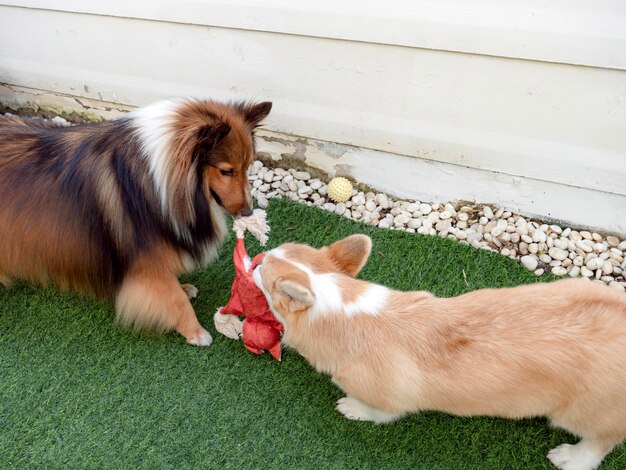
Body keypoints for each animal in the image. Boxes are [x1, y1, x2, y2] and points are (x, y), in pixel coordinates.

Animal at [0, 97, 270, 346]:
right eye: (226, 171)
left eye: (247, 166)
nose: (248, 212)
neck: (161, 179)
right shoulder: (146, 262)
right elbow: (174, 298)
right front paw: (196, 332)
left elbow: (172, 287)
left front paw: (184, 288)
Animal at [251, 235, 624, 470]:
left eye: (265, 276)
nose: (256, 259)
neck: (342, 308)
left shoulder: (386, 401)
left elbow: (376, 412)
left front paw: (351, 408)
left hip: (582, 414)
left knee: (602, 441)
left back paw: (571, 459)